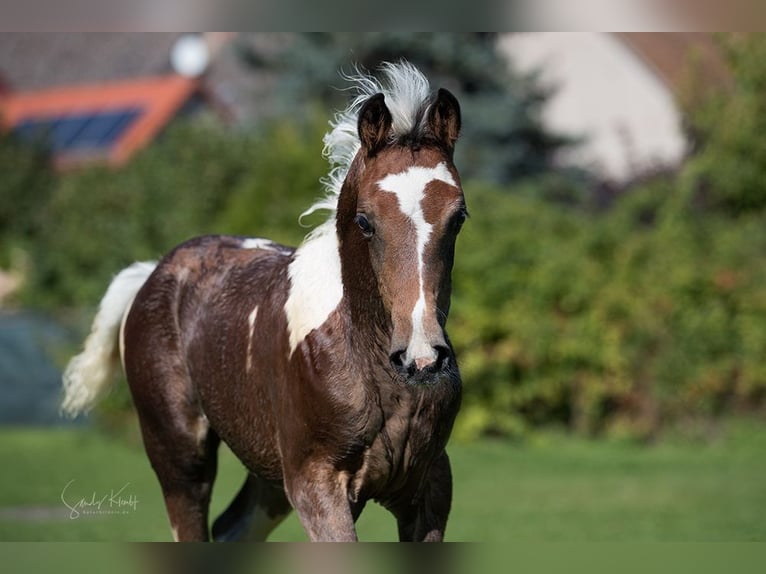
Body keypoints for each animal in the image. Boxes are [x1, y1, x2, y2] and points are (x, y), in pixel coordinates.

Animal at [61, 61, 466, 542]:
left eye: (458, 217)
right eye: (365, 221)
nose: (422, 359)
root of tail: (153, 274)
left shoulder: (430, 488)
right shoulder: (317, 484)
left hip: (269, 477)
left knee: (231, 528)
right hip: (181, 457)